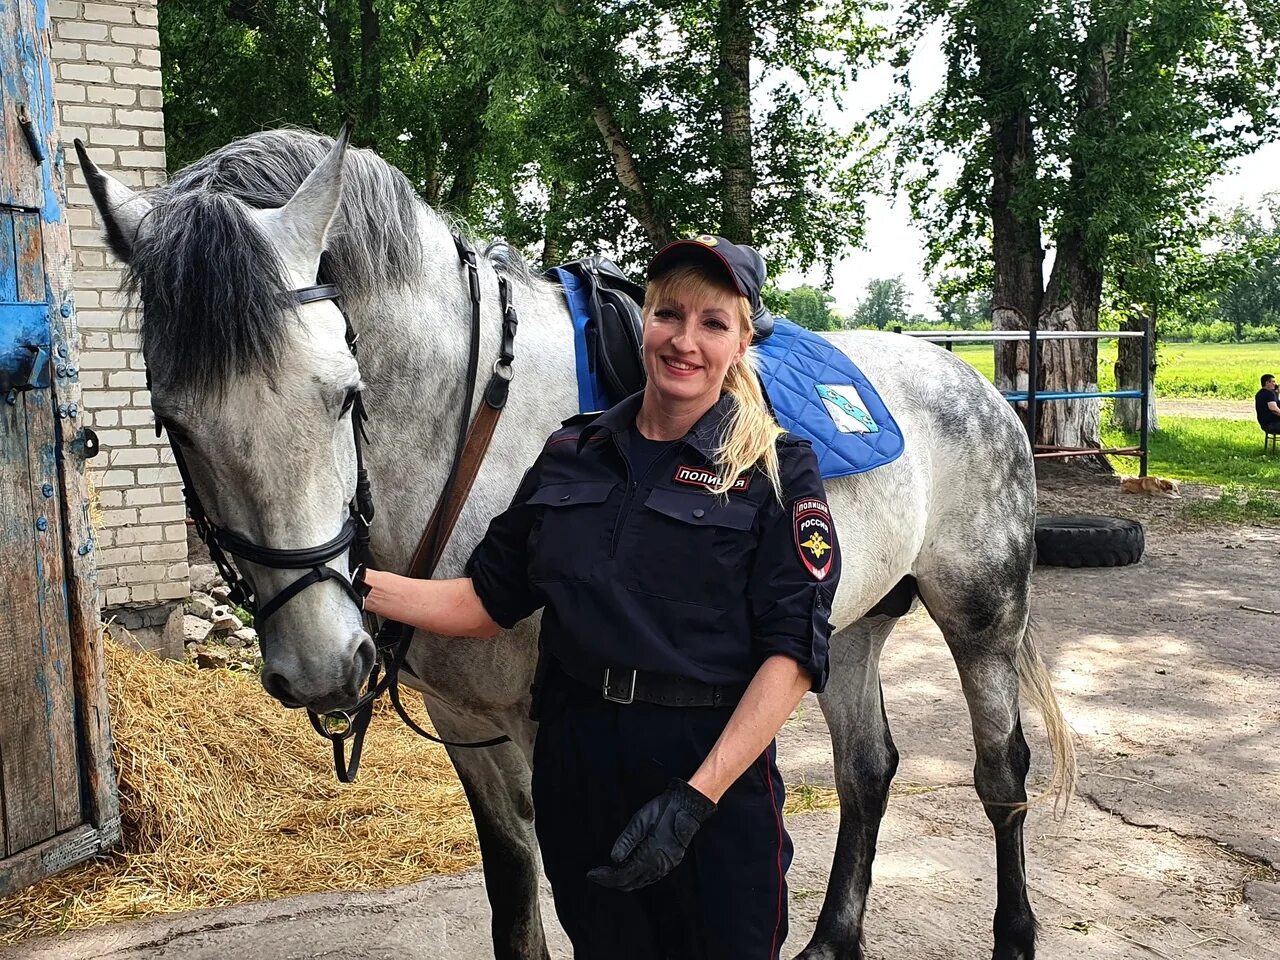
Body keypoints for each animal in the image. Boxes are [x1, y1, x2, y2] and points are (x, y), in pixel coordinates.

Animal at [80, 129, 1075, 960]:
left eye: (346, 394)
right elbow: (514, 900)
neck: (472, 429)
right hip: (850, 627)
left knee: (1001, 775)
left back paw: (1013, 934)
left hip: (982, 619)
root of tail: (977, 384)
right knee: (867, 771)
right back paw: (832, 940)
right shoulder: (469, 726)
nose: (324, 666)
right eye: (173, 421)